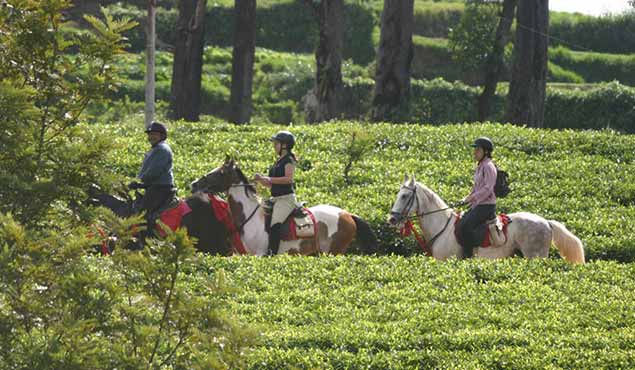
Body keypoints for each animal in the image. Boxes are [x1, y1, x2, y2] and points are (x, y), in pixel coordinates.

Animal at [190, 159, 378, 258]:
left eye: (220, 172)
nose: (194, 184)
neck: (251, 219)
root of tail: (347, 214)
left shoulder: (259, 254)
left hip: (334, 251)